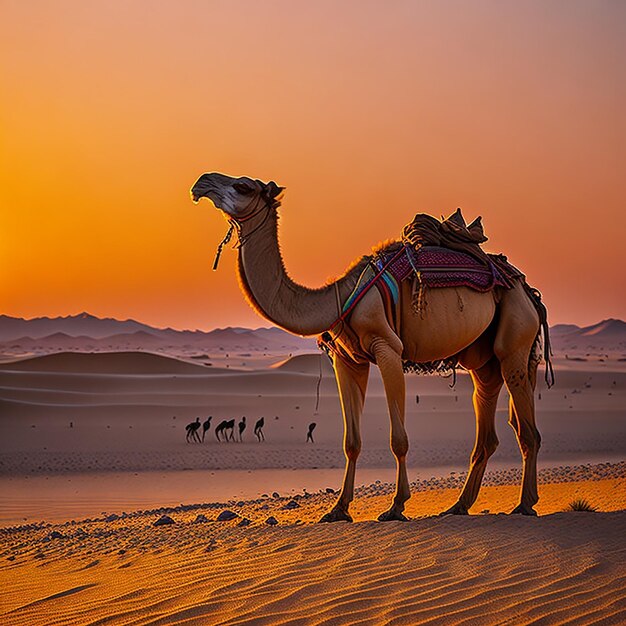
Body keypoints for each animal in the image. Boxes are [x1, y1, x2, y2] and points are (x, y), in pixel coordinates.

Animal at [191, 173, 552, 520]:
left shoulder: (387, 347)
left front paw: (396, 506)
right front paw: (338, 509)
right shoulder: (347, 360)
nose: (201, 182)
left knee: (528, 431)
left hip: (514, 339)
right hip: (483, 359)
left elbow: (398, 439)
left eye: (242, 186)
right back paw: (459, 505)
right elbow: (351, 441)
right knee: (488, 428)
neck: (335, 299)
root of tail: (528, 290)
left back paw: (525, 504)